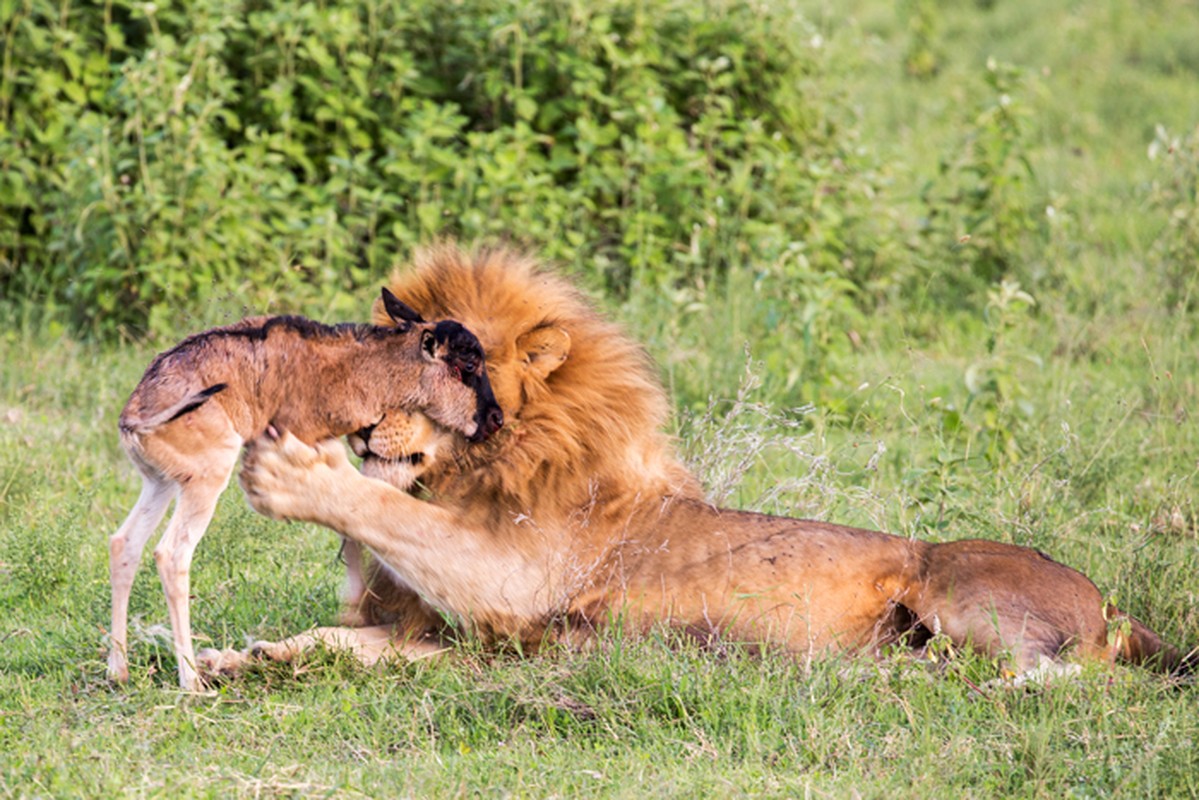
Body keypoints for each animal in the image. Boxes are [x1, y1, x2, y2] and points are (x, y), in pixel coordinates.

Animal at [231, 245, 1189, 681]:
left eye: (446, 370)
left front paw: (301, 472)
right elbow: (339, 637)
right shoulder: (469, 637)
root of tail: (1111, 602)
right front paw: (246, 658)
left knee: (1060, 676)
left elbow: (394, 515)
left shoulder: (513, 583)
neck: (477, 473)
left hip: (959, 593)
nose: (363, 433)